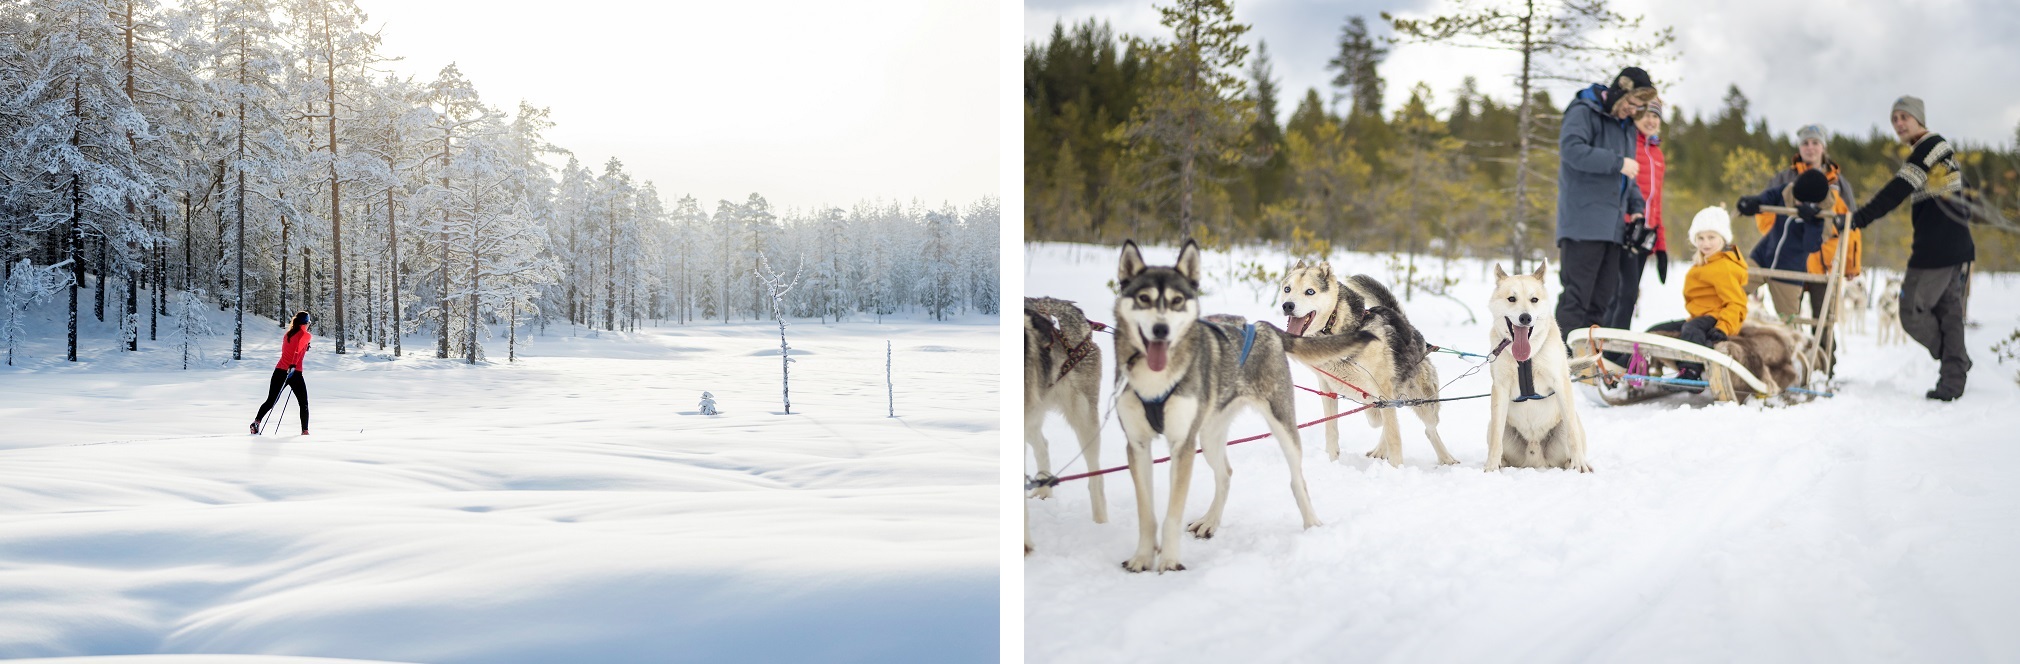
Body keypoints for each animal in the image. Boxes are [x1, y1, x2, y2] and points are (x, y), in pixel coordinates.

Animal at [1115, 238, 1381, 569]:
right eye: (1143, 299)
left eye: (1177, 301)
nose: (1160, 329)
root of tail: (1261, 325)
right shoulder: (1137, 445)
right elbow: (1146, 512)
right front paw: (1142, 557)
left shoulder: (1183, 446)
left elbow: (1172, 512)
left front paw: (1170, 561)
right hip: (1209, 435)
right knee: (1225, 474)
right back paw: (1209, 522)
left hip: (1281, 425)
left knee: (1297, 481)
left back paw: (1312, 527)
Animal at [1276, 260, 1454, 466]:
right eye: (1287, 289)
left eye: (1310, 291)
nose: (1287, 305)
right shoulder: (1328, 390)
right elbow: (1332, 430)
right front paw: (1332, 461)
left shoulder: (1383, 389)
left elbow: (1394, 436)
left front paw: (1397, 468)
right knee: (1383, 420)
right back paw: (1380, 449)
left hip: (1424, 403)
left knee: (1429, 429)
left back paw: (1446, 458)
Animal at [1486, 260, 1591, 472]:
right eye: (1511, 298)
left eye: (1534, 299)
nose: (1525, 317)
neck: (1526, 358)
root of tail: (1535, 459)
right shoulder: (1500, 388)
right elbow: (1495, 440)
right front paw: (1491, 467)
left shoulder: (1560, 382)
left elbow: (1573, 435)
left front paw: (1579, 464)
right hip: (1493, 425)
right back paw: (1501, 463)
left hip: (1566, 425)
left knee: (1571, 435)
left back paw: (1573, 463)